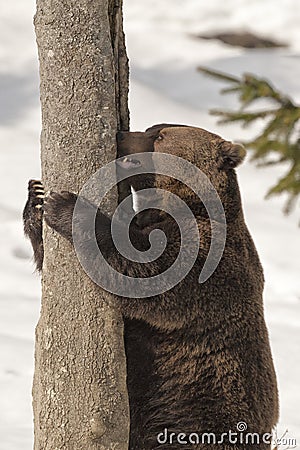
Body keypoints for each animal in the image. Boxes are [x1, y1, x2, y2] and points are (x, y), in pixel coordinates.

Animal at [23, 124, 278, 450]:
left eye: (160, 136)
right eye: (152, 128)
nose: (121, 135)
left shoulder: (207, 260)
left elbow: (144, 272)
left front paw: (68, 206)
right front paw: (37, 196)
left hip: (202, 411)